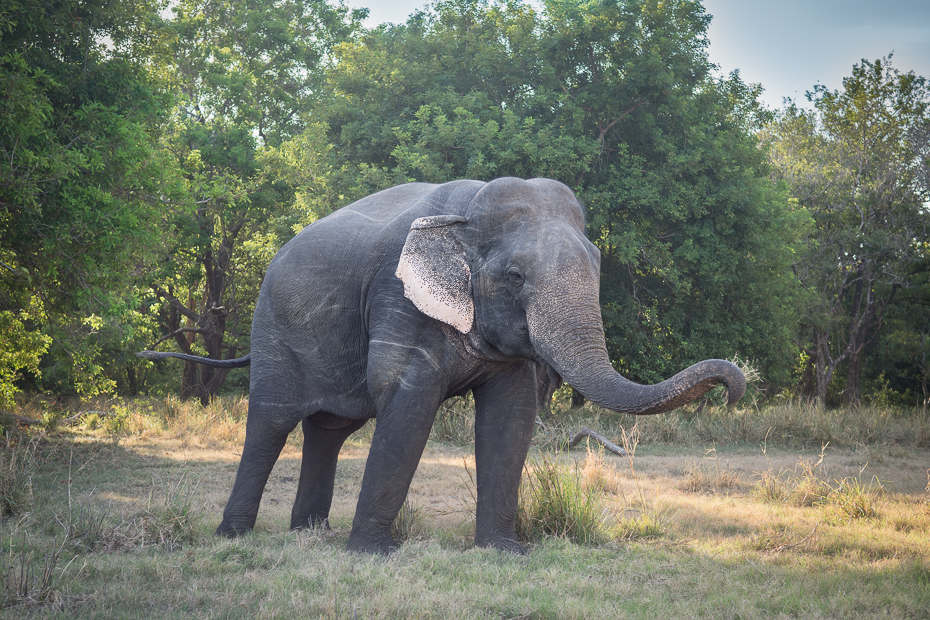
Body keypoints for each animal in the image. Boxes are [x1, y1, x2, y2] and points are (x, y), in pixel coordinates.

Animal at [140, 177, 748, 556]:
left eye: (598, 266)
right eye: (515, 278)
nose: (734, 386)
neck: (467, 214)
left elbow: (510, 418)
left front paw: (504, 553)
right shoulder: (399, 300)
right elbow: (409, 404)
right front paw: (372, 556)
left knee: (330, 430)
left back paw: (310, 534)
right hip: (273, 332)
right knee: (270, 423)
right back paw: (235, 538)